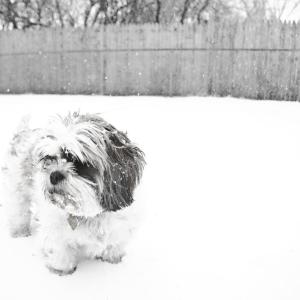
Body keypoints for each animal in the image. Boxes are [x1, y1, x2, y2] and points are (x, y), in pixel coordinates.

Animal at [1, 112, 144, 274]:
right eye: (50, 159)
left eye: (80, 163)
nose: (54, 175)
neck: (89, 214)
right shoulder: (56, 234)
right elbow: (60, 253)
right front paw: (62, 270)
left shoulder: (120, 229)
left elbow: (114, 246)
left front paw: (112, 260)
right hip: (17, 188)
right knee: (18, 211)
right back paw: (19, 231)